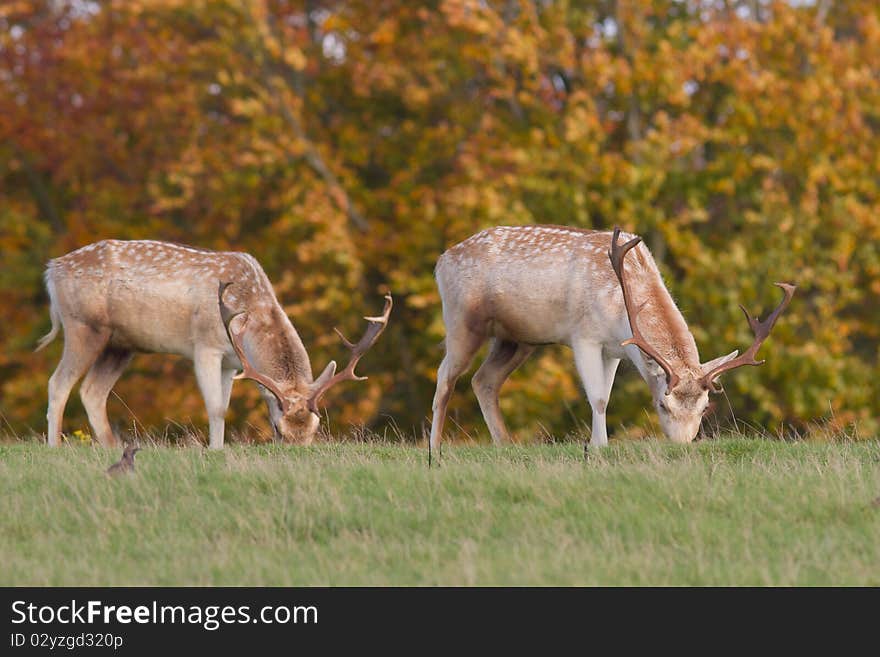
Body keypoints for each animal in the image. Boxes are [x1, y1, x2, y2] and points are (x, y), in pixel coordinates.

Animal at [36, 238, 390, 448]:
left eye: (314, 430)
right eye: (279, 430)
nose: (295, 453)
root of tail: (52, 270)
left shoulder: (232, 363)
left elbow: (225, 405)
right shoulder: (205, 346)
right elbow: (216, 408)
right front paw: (214, 451)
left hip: (121, 344)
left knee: (92, 392)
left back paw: (113, 448)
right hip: (83, 327)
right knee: (58, 383)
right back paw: (55, 447)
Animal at [430, 227, 796, 452]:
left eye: (705, 409)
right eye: (661, 404)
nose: (680, 446)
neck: (621, 308)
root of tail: (441, 260)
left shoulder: (615, 351)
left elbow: (604, 394)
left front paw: (595, 443)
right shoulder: (584, 336)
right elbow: (599, 398)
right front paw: (599, 447)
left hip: (517, 339)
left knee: (483, 380)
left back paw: (505, 443)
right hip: (461, 319)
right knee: (446, 377)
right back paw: (435, 448)